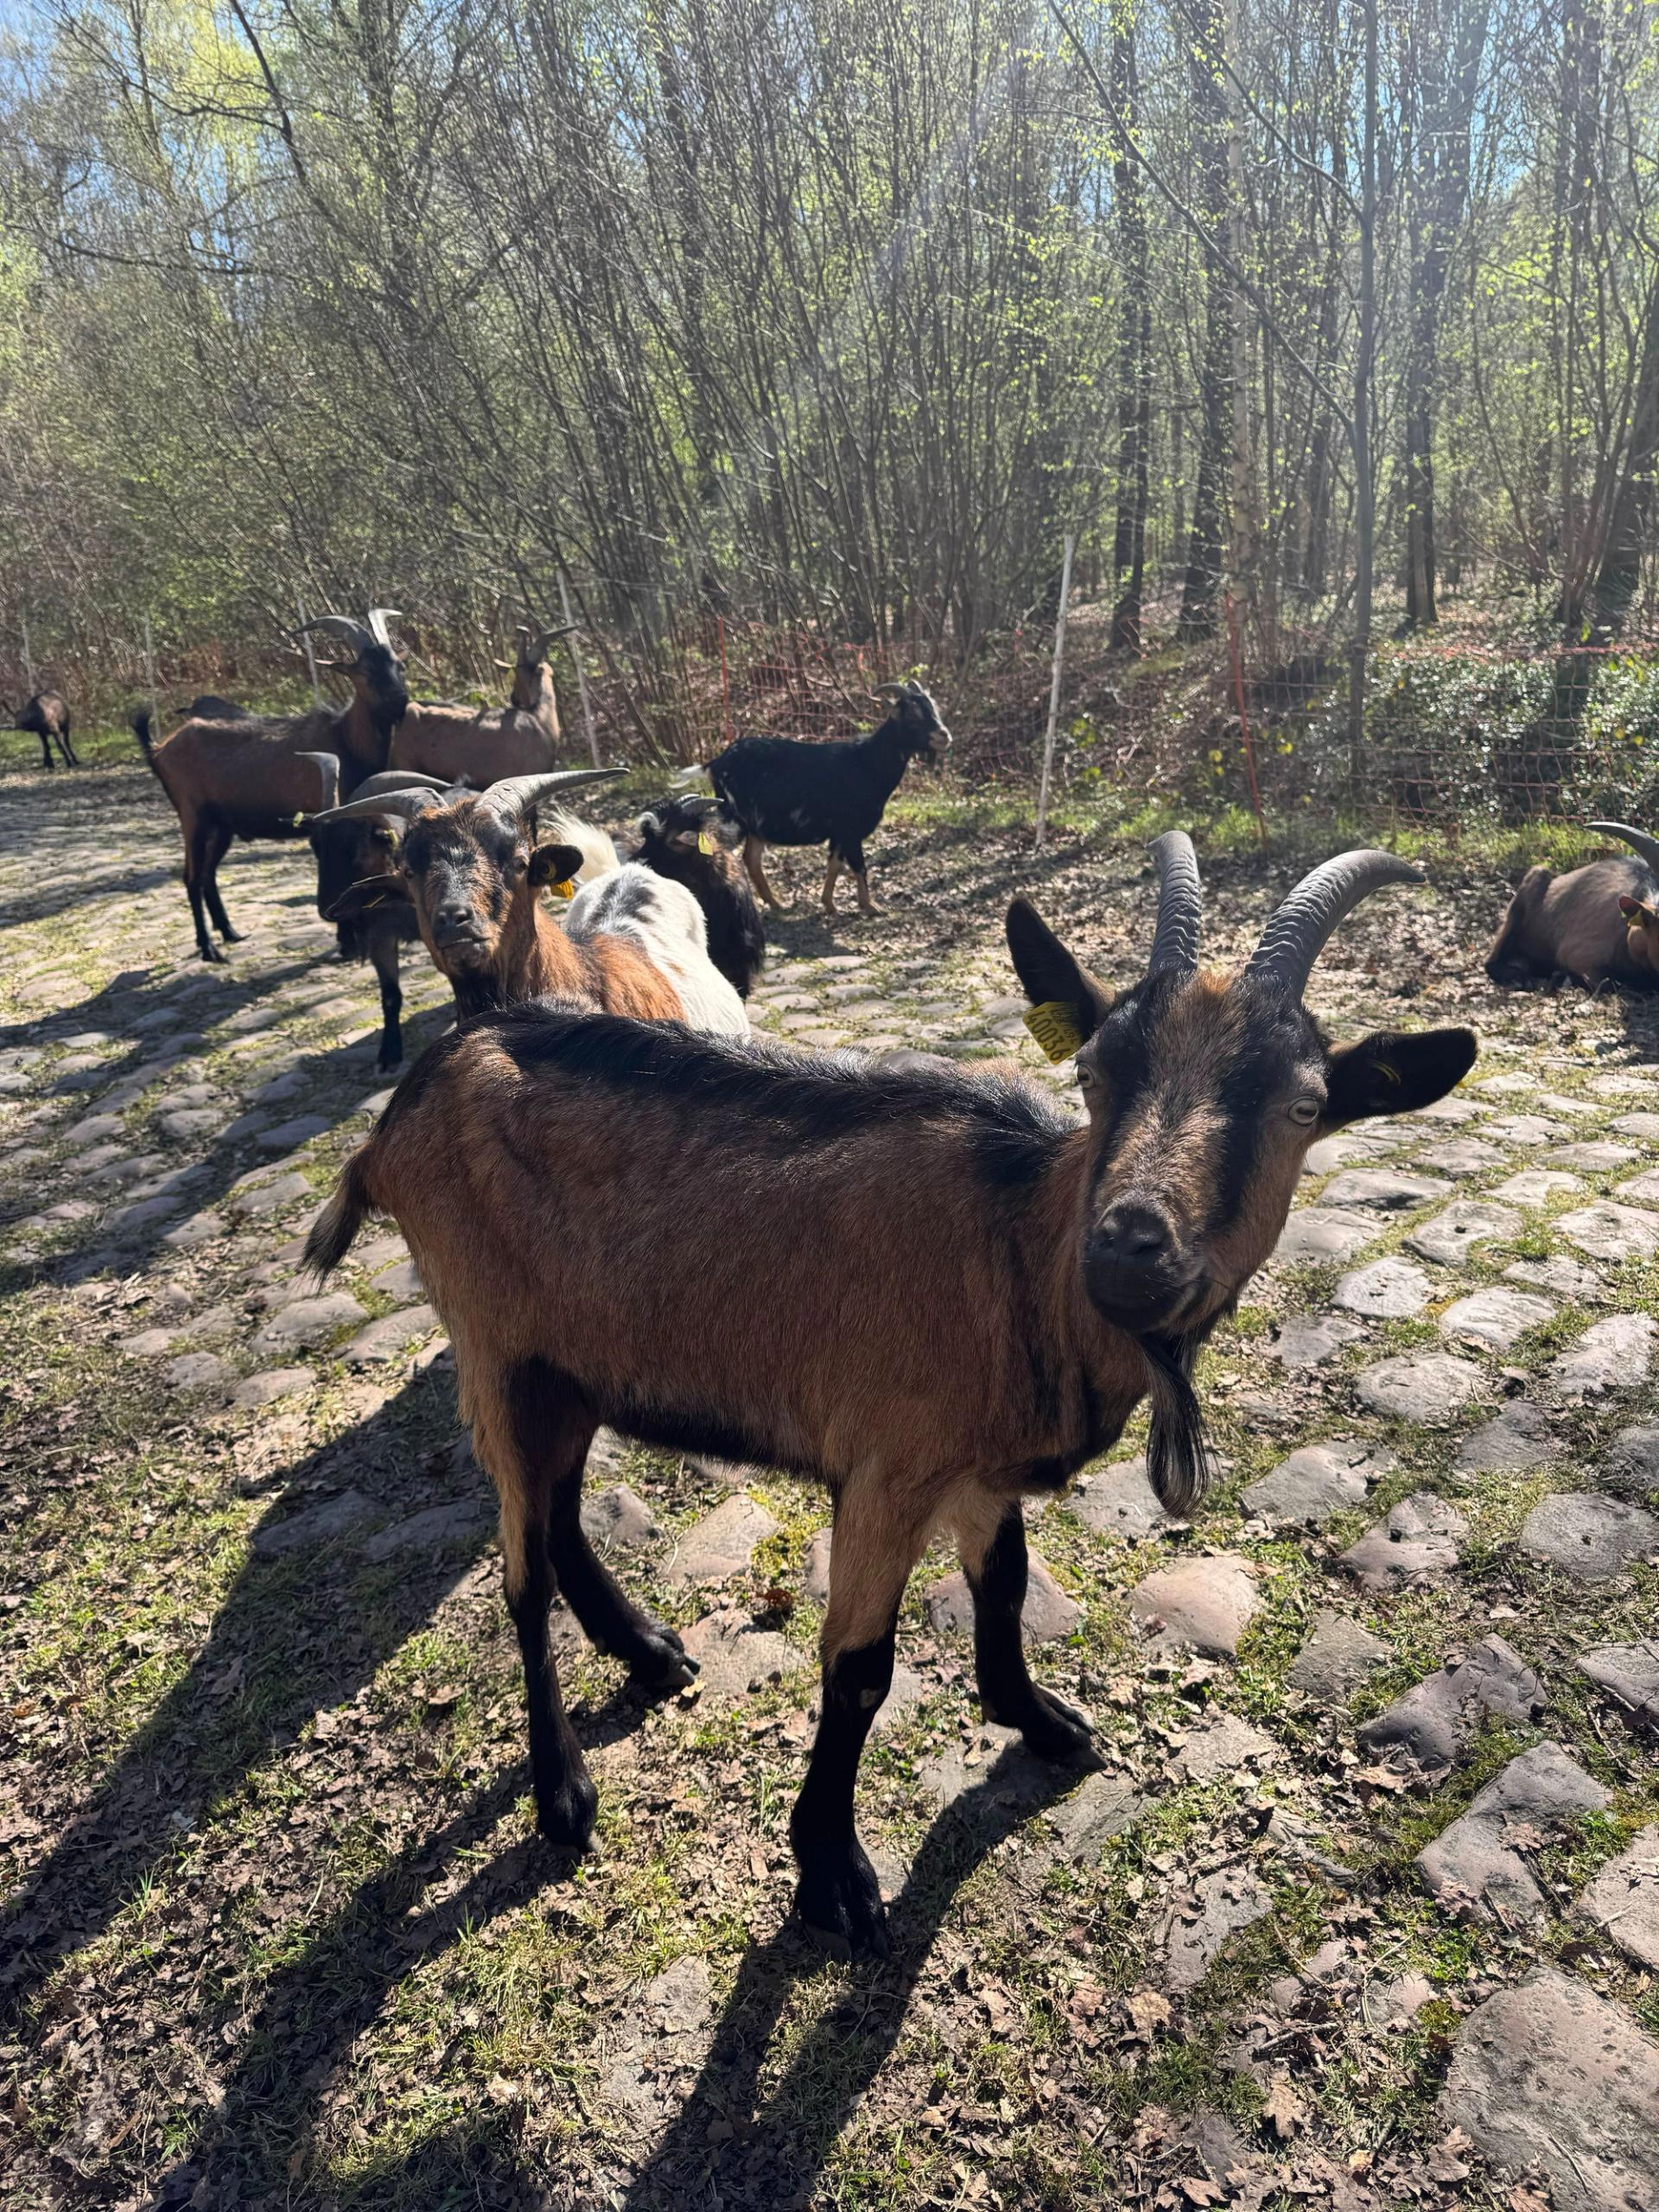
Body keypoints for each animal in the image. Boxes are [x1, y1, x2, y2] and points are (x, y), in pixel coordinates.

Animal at [132, 611, 408, 962]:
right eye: (367, 671)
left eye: (399, 666)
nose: (400, 700)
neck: (345, 738)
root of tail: (159, 749)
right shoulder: (323, 823)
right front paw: (347, 943)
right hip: (193, 817)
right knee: (192, 877)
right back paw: (209, 949)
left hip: (222, 827)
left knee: (208, 875)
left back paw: (230, 933)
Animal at [304, 837, 1475, 1954]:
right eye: (1097, 1073)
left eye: (1305, 1104)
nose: (1128, 1245)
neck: (1020, 1245)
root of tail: (402, 1109)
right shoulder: (886, 1467)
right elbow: (860, 1668)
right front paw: (833, 1876)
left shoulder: (977, 1469)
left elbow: (1005, 1586)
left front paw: (1042, 1723)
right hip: (494, 1348)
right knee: (520, 1570)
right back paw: (562, 1793)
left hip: (572, 1364)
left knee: (553, 1517)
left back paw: (650, 1654)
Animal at [701, 678, 950, 916]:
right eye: (912, 714)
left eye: (933, 707)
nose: (944, 736)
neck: (867, 763)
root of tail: (716, 763)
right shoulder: (850, 831)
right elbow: (859, 866)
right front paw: (870, 906)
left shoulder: (839, 833)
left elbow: (834, 865)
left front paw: (829, 905)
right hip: (732, 819)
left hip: (755, 828)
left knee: (751, 859)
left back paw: (777, 904)